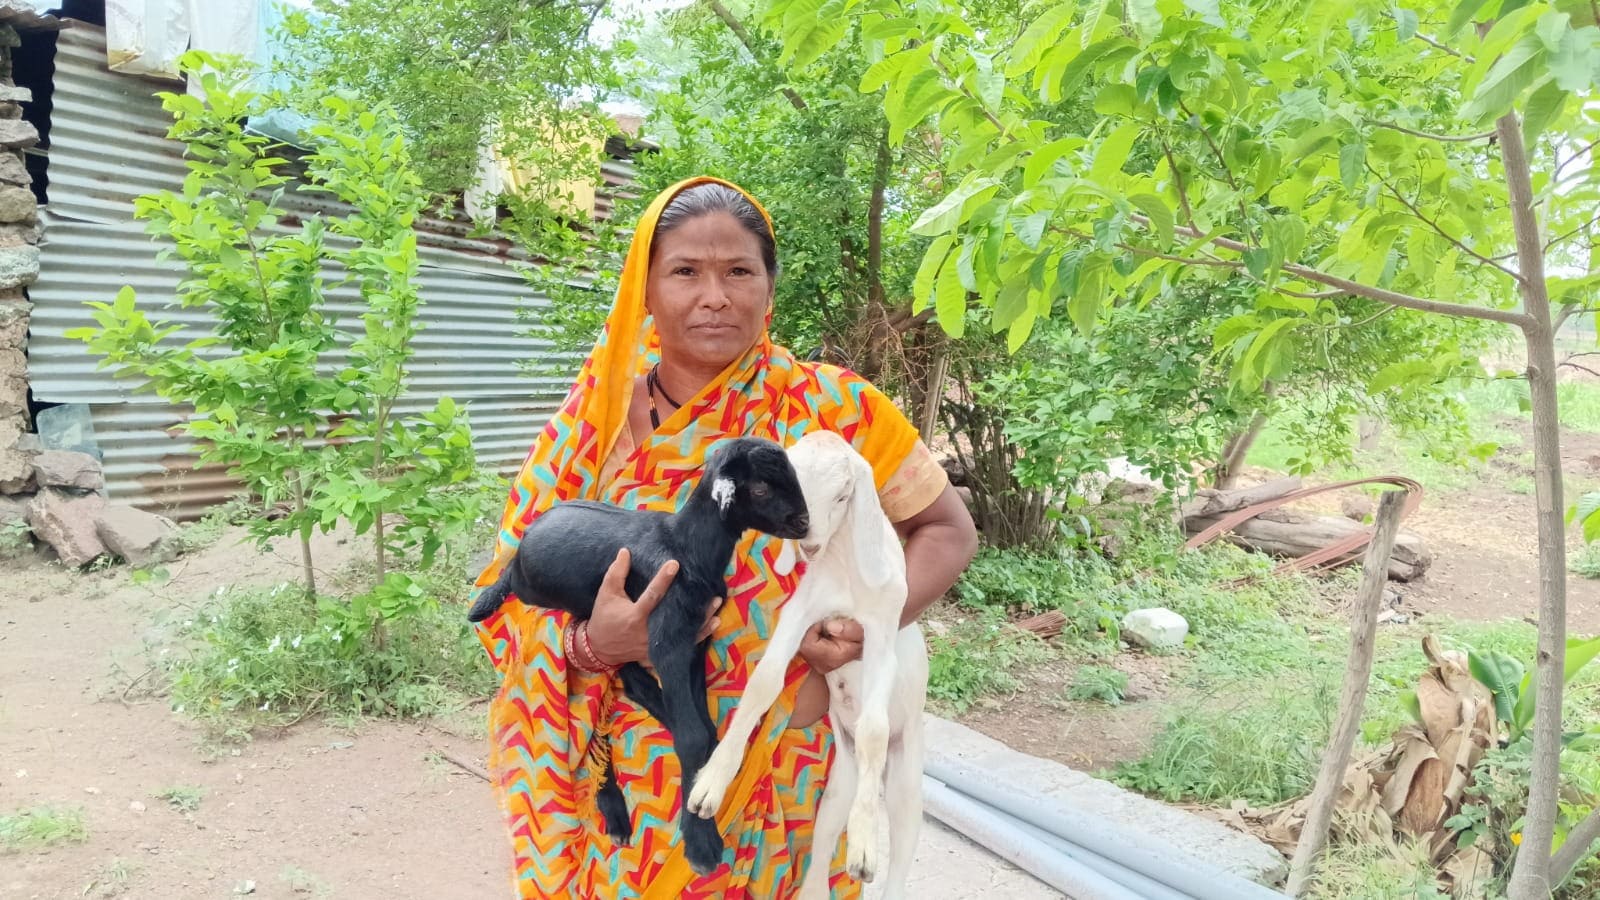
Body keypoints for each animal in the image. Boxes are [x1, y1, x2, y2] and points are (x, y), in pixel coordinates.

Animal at [466, 436, 811, 876]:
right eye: (762, 488)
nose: (804, 522)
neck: (686, 547)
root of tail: (513, 567)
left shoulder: (695, 642)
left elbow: (702, 726)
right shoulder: (669, 639)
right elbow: (692, 736)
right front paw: (701, 843)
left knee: (629, 680)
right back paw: (614, 810)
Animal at [686, 430, 928, 900]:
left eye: (844, 494)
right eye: (782, 485)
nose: (807, 537)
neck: (847, 570)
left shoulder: (880, 633)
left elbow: (874, 729)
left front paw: (864, 847)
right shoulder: (803, 611)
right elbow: (763, 682)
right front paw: (711, 783)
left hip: (906, 779)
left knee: (904, 843)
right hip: (840, 781)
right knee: (824, 838)